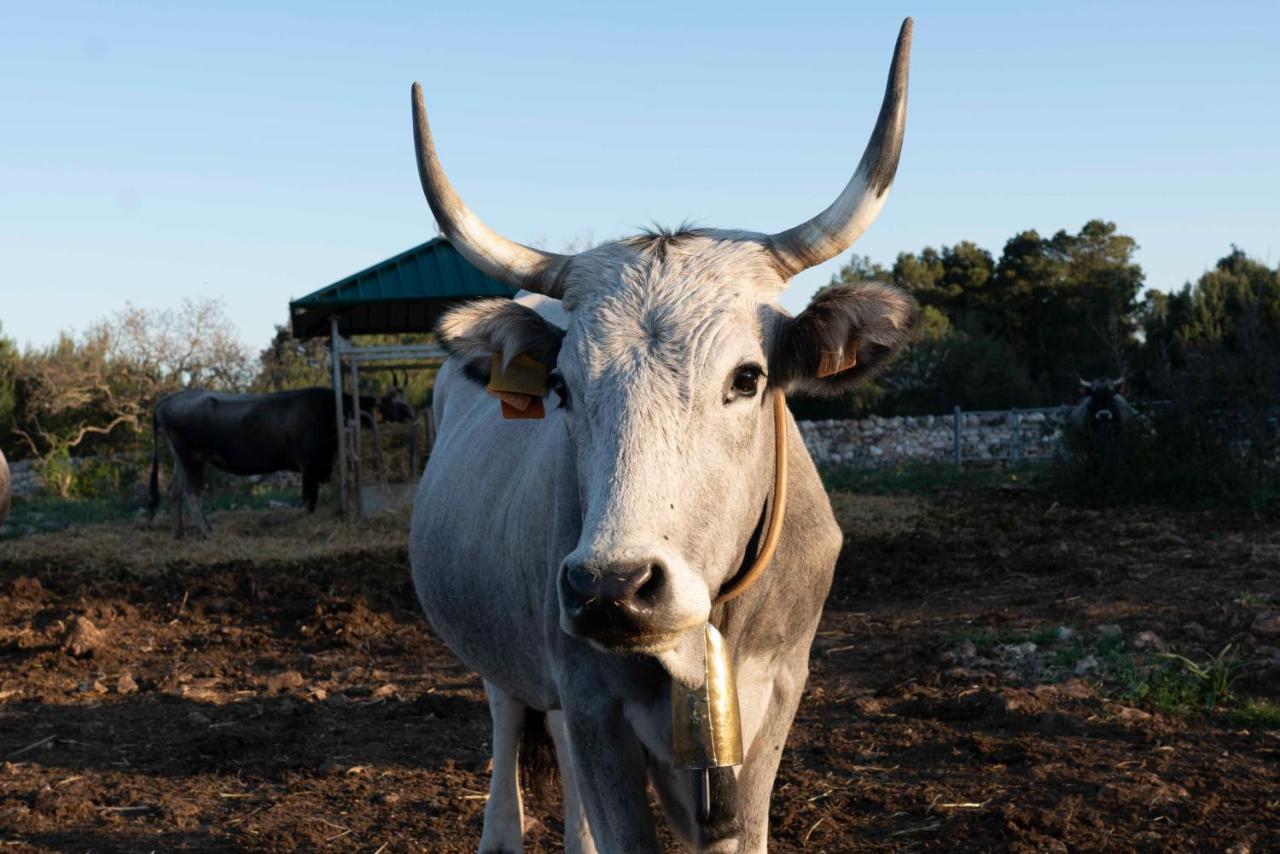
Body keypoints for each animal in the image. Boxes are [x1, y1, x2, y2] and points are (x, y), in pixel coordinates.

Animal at [149, 386, 412, 537]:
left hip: (180, 459)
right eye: (396, 405)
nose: (412, 414)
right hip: (193, 458)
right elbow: (308, 502)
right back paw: (207, 531)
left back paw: (179, 533)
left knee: (174, 491)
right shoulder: (309, 465)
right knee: (191, 495)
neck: (332, 409)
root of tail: (168, 400)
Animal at [409, 20, 921, 854]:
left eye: (747, 377)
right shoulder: (595, 703)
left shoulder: (774, 702)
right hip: (506, 651)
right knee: (510, 721)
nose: (611, 587)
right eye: (562, 387)